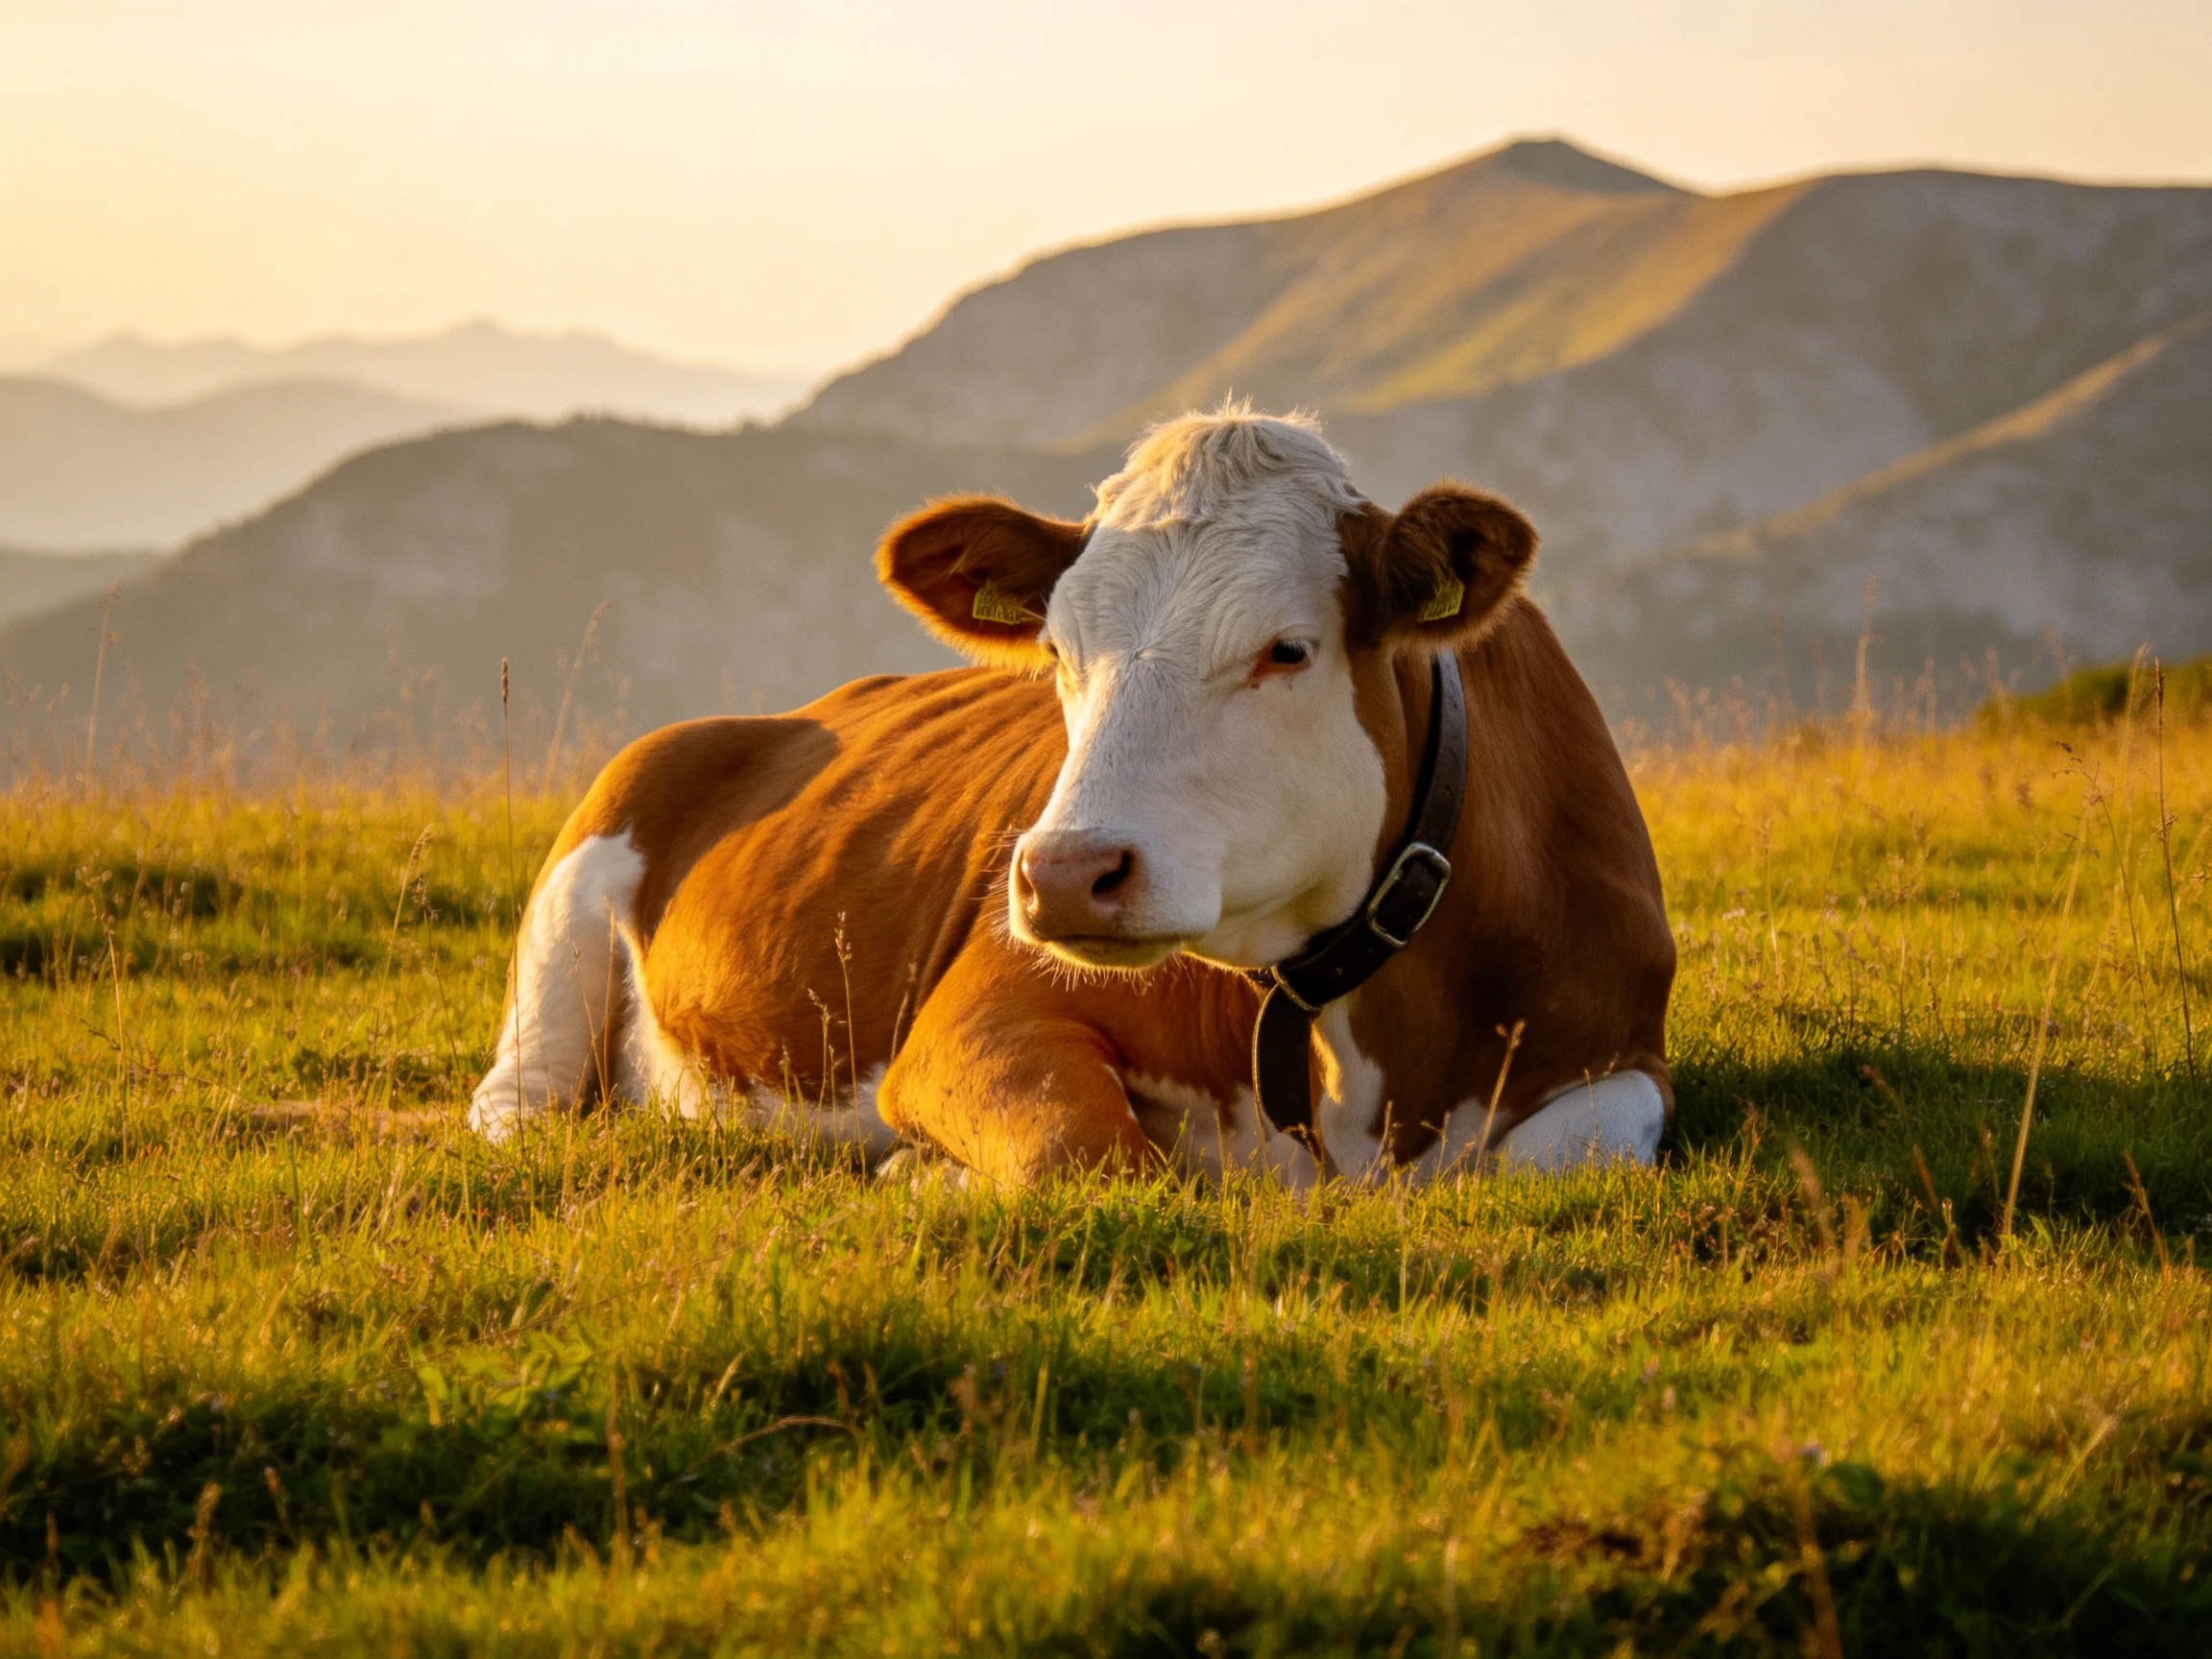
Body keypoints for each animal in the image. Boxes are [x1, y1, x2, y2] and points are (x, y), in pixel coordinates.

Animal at [468, 409, 1675, 1187]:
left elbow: (1568, 1159)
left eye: (1287, 650)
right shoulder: (977, 1015)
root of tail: (784, 715)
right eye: (1057, 649)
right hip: (574, 901)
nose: (1062, 875)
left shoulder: (1624, 1052)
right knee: (519, 1100)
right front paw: (925, 1173)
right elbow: (1085, 1154)